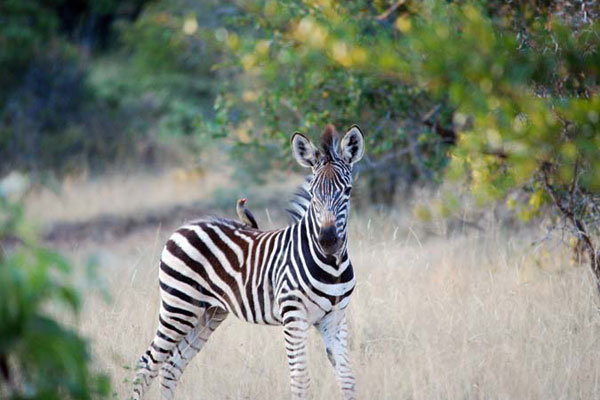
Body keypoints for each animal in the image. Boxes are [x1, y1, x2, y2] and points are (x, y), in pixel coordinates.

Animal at [132, 123, 366, 398]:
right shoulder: (293, 316)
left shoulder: (335, 318)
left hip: (208, 312)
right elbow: (300, 381)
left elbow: (347, 378)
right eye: (313, 193)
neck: (333, 267)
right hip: (179, 306)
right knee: (147, 364)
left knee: (172, 366)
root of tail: (186, 226)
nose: (328, 241)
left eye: (347, 191)